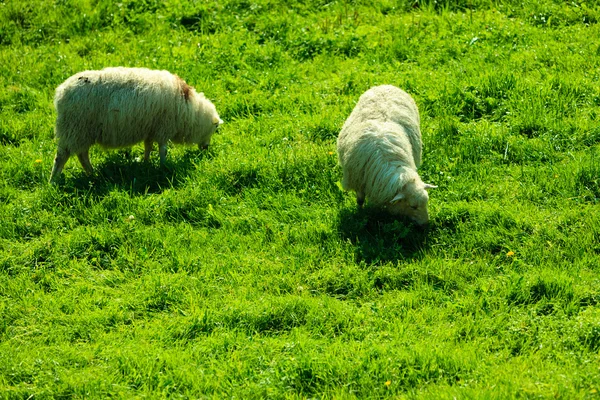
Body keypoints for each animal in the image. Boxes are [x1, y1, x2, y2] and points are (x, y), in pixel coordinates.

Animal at [49, 67, 223, 183]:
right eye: (215, 129)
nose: (206, 148)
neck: (190, 111)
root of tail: (60, 92)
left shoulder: (151, 129)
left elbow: (148, 146)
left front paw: (146, 163)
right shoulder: (163, 128)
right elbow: (163, 150)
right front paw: (163, 166)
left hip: (81, 132)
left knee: (82, 155)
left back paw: (92, 174)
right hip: (74, 128)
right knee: (62, 156)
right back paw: (54, 181)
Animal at [338, 84, 436, 225]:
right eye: (413, 207)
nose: (425, 223)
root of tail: (385, 85)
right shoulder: (359, 181)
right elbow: (360, 200)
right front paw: (360, 213)